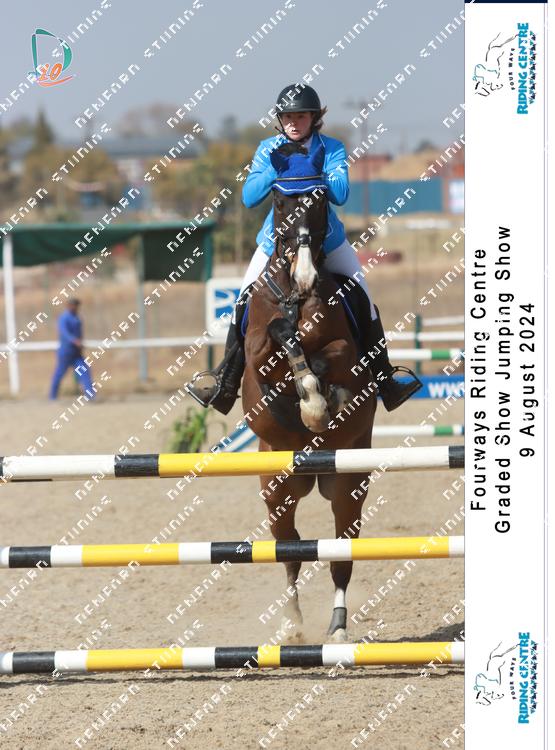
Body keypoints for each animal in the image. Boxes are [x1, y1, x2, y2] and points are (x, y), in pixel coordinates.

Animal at [241, 142, 376, 642]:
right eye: (279, 202)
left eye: (319, 200)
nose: (302, 276)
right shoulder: (258, 358)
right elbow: (281, 338)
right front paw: (309, 399)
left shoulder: (345, 351)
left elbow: (324, 363)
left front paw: (319, 405)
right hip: (277, 486)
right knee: (290, 547)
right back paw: (294, 625)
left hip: (349, 482)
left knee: (340, 549)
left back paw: (336, 628)